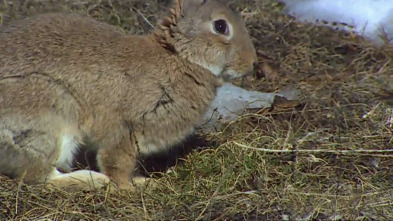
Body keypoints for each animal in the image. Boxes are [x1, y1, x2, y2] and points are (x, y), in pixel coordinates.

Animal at [0, 0, 258, 190]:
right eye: (221, 26)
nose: (252, 63)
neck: (180, 56)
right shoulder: (125, 127)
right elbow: (117, 161)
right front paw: (132, 186)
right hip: (51, 116)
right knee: (38, 175)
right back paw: (93, 180)